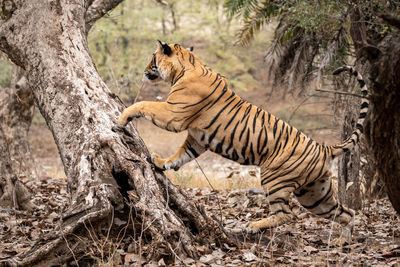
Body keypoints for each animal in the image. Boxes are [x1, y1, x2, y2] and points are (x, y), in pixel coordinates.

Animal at [119, 40, 368, 243]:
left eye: (153, 57)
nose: (144, 71)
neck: (186, 67)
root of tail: (323, 147)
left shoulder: (174, 114)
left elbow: (144, 105)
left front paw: (122, 118)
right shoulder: (197, 138)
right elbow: (181, 154)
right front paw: (162, 163)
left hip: (275, 179)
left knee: (287, 214)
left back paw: (253, 226)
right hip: (315, 194)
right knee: (346, 212)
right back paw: (343, 241)